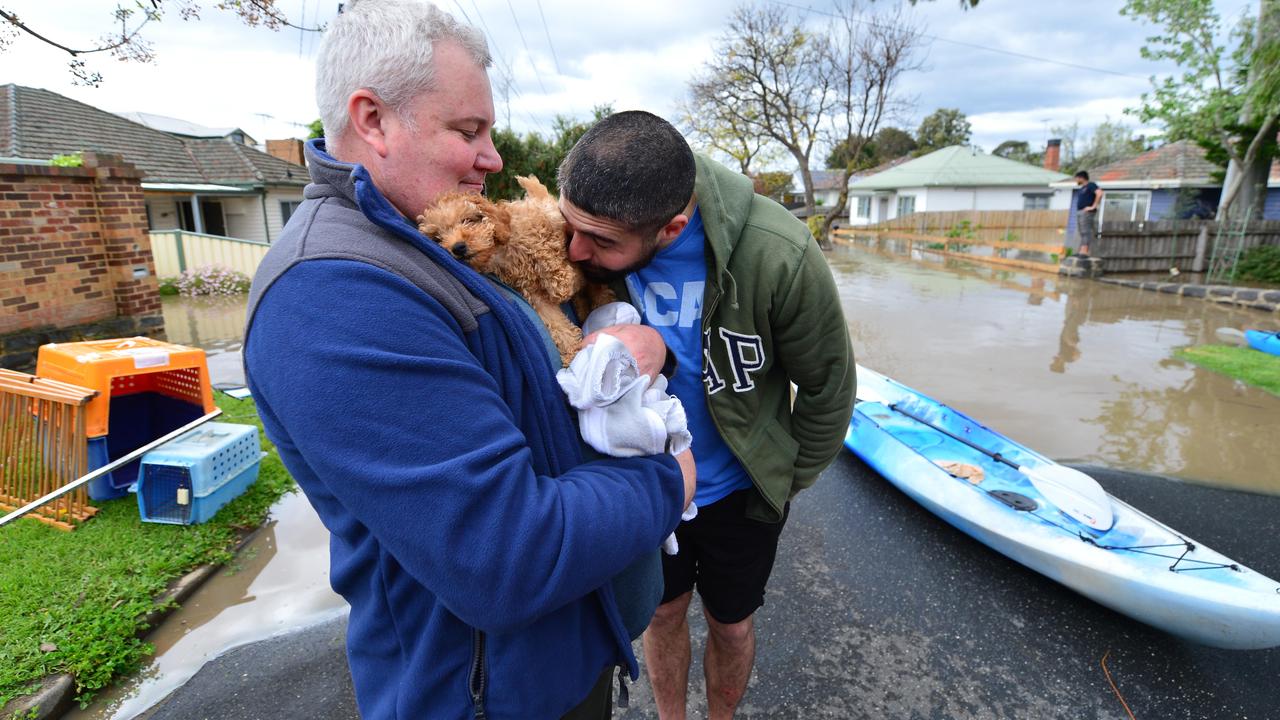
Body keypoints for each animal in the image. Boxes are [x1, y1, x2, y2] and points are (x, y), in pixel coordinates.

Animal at [417, 174, 611, 363]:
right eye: (437, 238)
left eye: (467, 220)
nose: (457, 247)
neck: (499, 253)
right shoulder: (535, 296)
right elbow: (556, 324)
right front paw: (572, 353)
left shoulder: (545, 221)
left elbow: (545, 244)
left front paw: (559, 281)